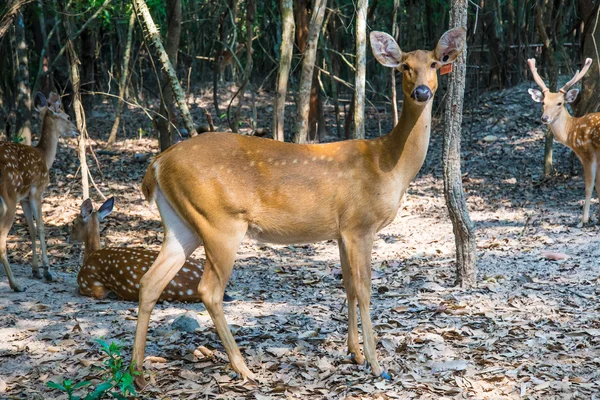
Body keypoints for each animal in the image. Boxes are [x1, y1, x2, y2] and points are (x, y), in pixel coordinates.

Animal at [0, 92, 78, 292]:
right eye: (68, 117)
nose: (77, 131)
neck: (44, 156)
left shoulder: (24, 198)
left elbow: (32, 229)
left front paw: (35, 270)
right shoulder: (37, 191)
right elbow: (42, 227)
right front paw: (47, 271)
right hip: (8, 197)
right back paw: (16, 285)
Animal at [130, 27, 468, 388]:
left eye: (434, 64)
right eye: (404, 66)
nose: (422, 91)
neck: (388, 164)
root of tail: (158, 163)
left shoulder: (341, 230)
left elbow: (348, 286)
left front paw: (355, 353)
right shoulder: (360, 224)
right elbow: (364, 289)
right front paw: (377, 364)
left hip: (182, 224)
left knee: (150, 282)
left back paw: (137, 371)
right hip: (220, 221)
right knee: (208, 289)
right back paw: (243, 368)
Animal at [524, 57, 600, 227]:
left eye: (560, 103)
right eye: (543, 103)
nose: (545, 118)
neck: (572, 130)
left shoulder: (587, 154)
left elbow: (589, 187)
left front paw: (582, 221)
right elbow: (598, 186)